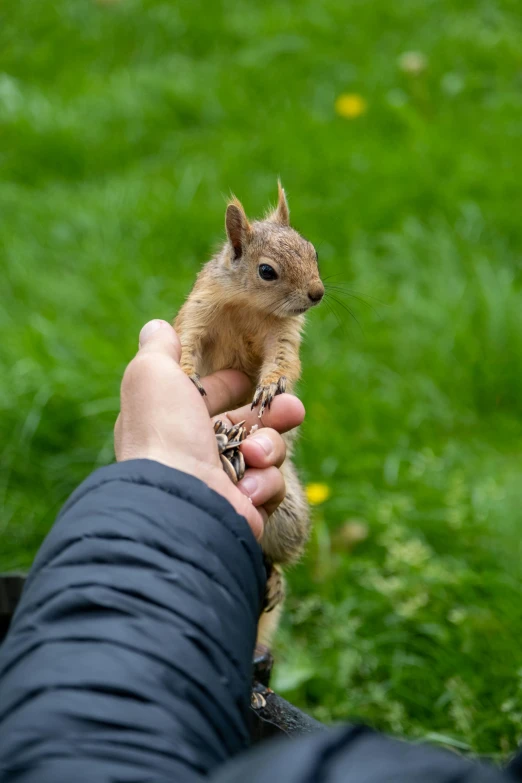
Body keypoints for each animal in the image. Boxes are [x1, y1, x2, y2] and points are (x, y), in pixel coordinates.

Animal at [174, 182, 320, 644]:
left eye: (313, 251)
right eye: (267, 271)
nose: (317, 294)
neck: (249, 306)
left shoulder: (284, 335)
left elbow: (283, 362)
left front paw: (271, 386)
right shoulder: (200, 310)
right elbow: (187, 341)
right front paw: (187, 374)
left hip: (288, 519)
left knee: (273, 557)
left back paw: (273, 581)